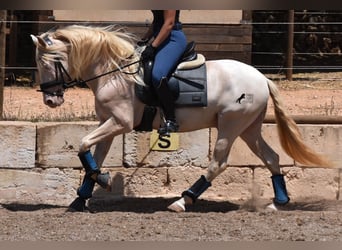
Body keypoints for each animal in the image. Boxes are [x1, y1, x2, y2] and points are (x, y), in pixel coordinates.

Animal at [30, 24, 332, 213]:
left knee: (219, 163)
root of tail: (261, 77)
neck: (114, 73)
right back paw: (277, 203)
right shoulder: (109, 124)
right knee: (271, 158)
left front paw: (99, 183)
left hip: (230, 126)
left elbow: (83, 144)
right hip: (249, 128)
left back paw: (183, 201)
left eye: (47, 63)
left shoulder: (119, 123)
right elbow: (92, 156)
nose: (50, 101)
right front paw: (83, 197)